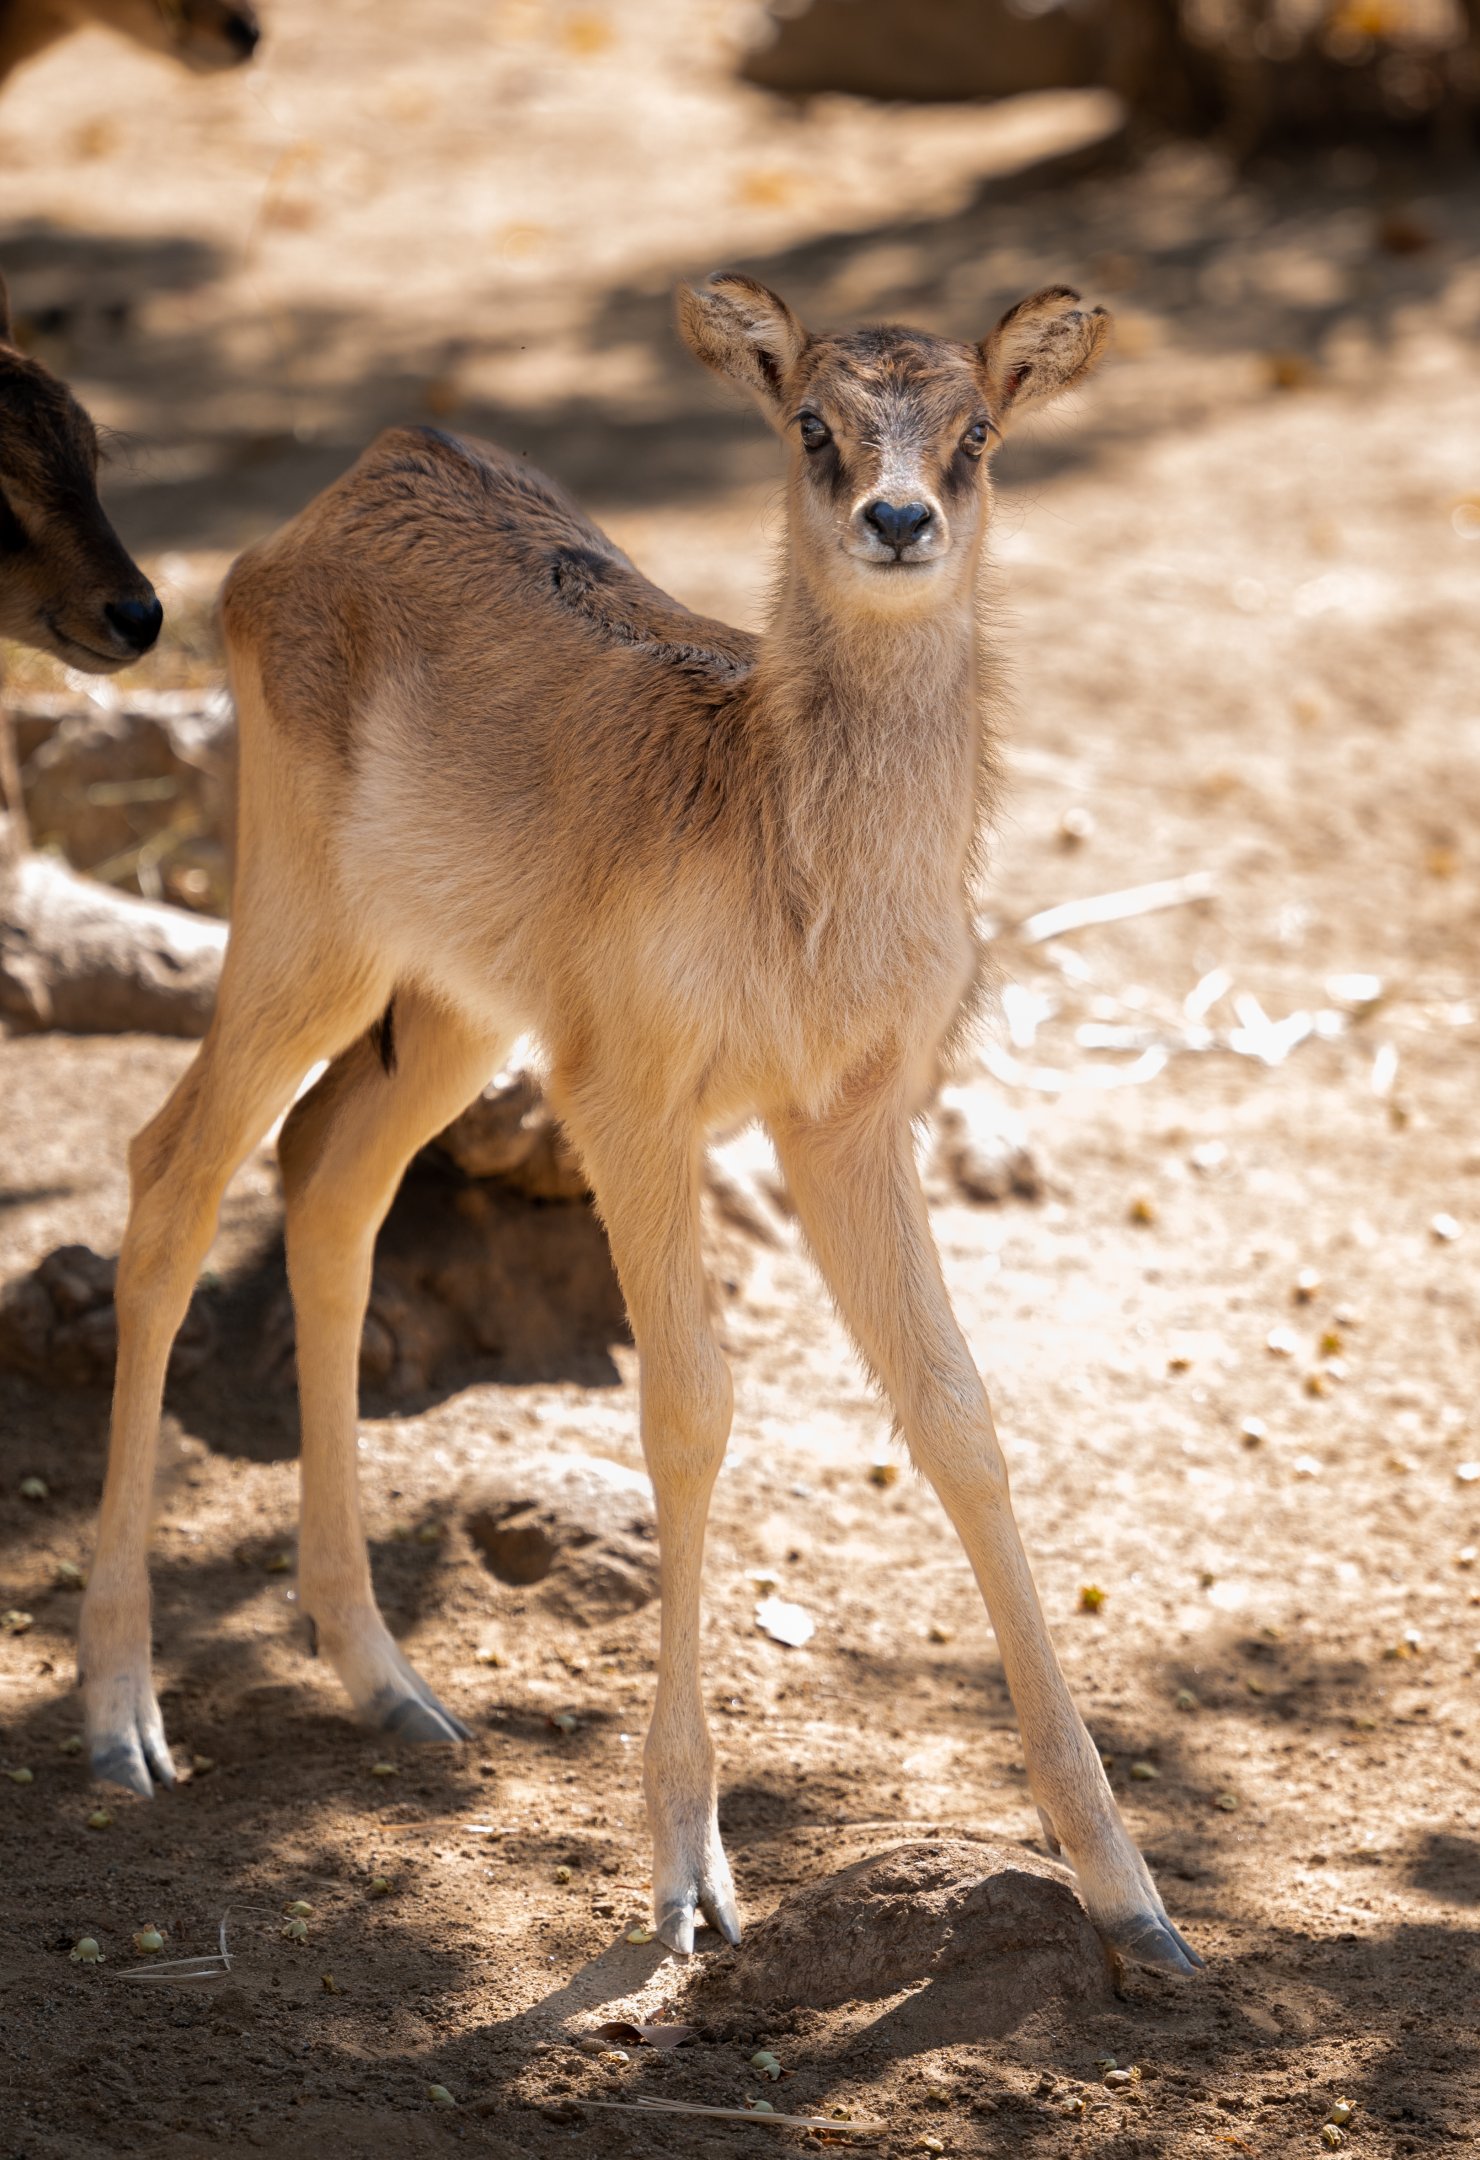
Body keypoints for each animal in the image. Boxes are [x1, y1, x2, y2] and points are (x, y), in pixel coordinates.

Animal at [77, 272, 1202, 1978]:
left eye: (977, 428)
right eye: (810, 418)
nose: (897, 517)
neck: (791, 876)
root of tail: (315, 515)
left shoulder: (850, 1112)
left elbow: (957, 1413)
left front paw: (1137, 1901)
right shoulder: (632, 1089)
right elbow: (691, 1404)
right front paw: (687, 1880)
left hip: (461, 1004)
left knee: (328, 1177)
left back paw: (391, 1684)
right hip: (303, 923)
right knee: (172, 1167)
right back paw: (124, 1718)